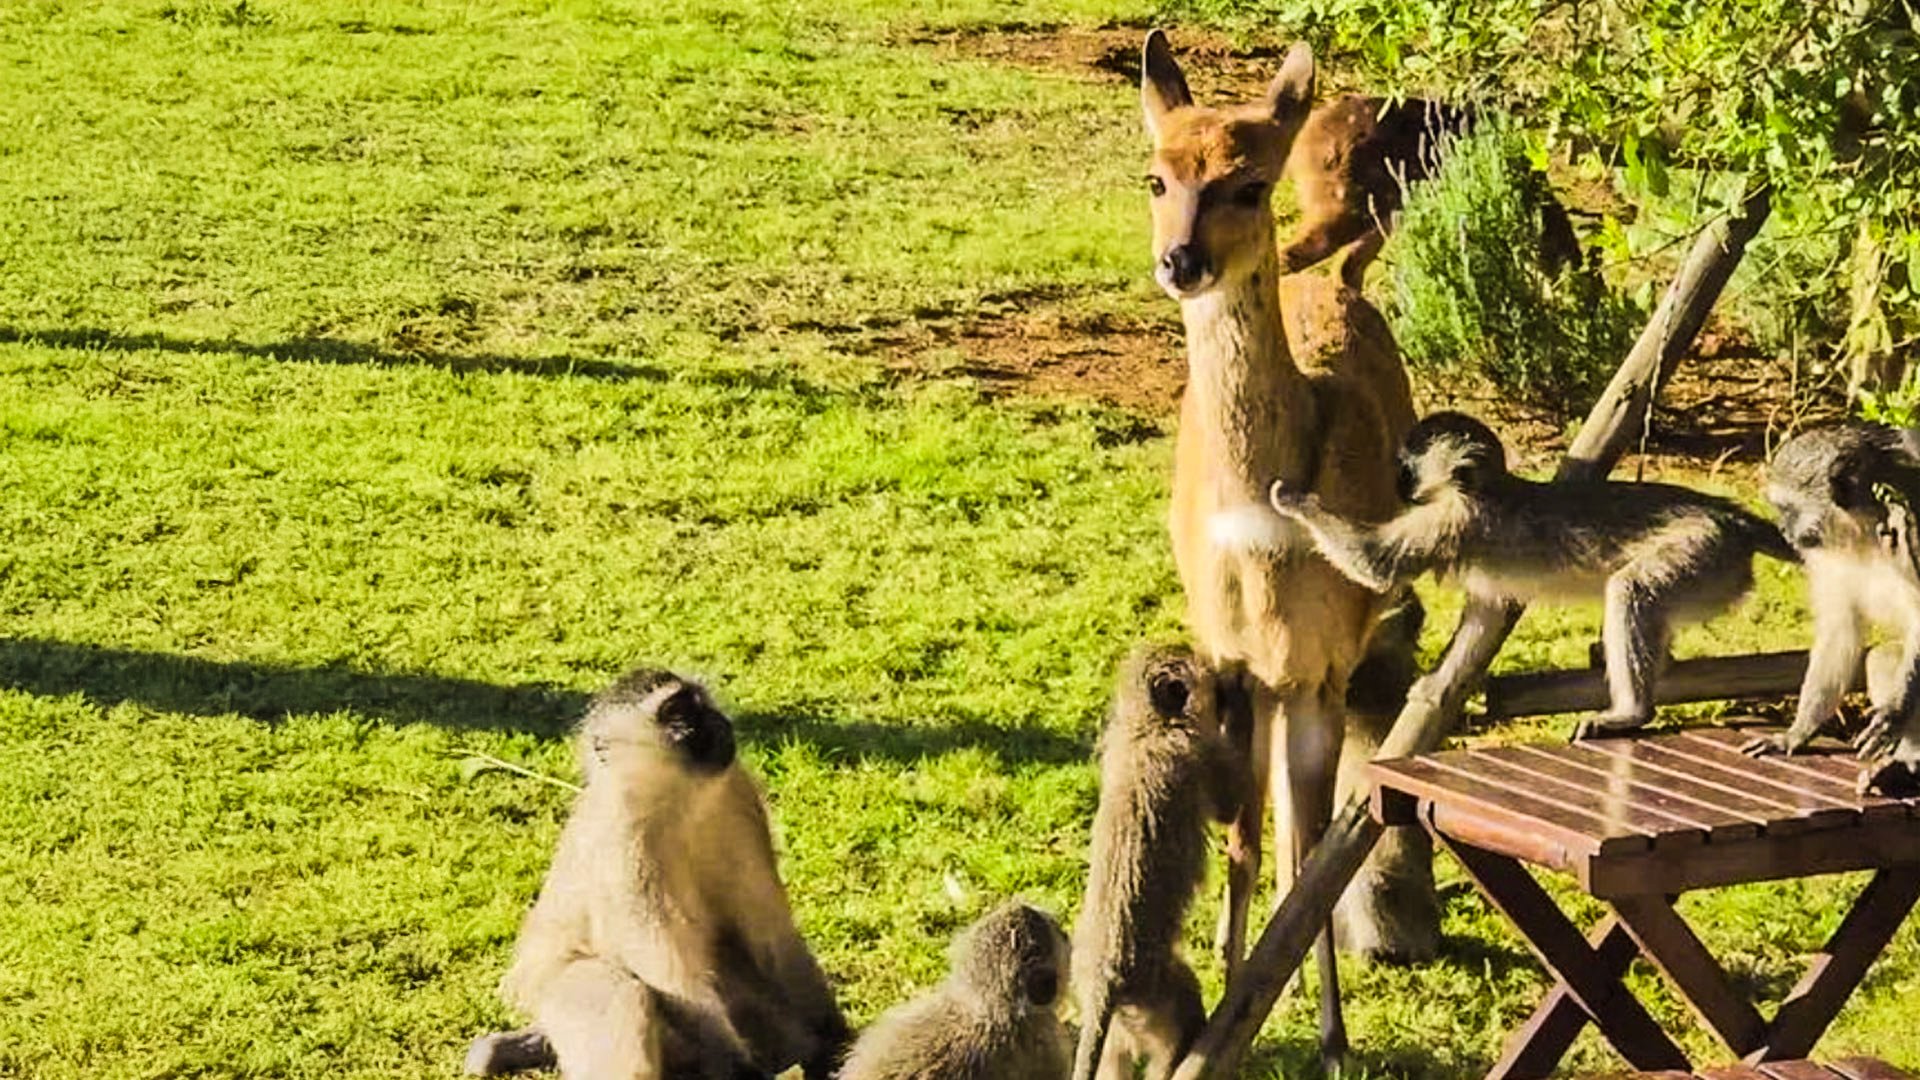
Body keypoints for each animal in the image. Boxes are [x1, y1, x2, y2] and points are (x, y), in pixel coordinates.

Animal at [463, 668, 849, 1080]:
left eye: (700, 702)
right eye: (678, 715)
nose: (717, 721)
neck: (680, 801)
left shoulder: (739, 796)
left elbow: (773, 935)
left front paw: (834, 1041)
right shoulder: (625, 839)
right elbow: (671, 975)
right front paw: (742, 1070)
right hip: (555, 994)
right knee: (622, 993)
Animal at [1071, 643, 1246, 1080]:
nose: (1223, 691)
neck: (1150, 726)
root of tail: (1105, 982)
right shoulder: (1197, 753)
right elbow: (1228, 805)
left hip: (1124, 1021)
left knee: (1113, 1059)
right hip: (1158, 995)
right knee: (1181, 1023)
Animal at [1267, 411, 1798, 739]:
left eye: (1407, 465)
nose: (1398, 481)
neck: (1481, 487)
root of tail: (1728, 516)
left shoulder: (1449, 520)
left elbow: (1376, 565)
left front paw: (1294, 500)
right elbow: (1486, 614)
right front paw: (1438, 688)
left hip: (1703, 553)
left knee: (1633, 588)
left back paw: (1631, 713)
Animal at [1744, 421, 1920, 789]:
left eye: (1787, 509)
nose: (1783, 530)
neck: (1862, 530)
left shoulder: (1910, 526)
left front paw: (1894, 713)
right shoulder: (1822, 553)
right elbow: (1840, 631)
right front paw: (1796, 734)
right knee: (1882, 657)